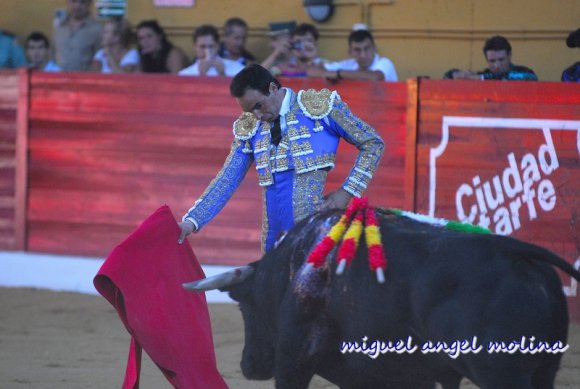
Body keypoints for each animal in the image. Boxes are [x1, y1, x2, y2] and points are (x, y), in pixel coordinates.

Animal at [185, 209, 580, 388]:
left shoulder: (294, 358)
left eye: (244, 306)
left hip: (500, 372)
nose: (249, 365)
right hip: (544, 370)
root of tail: (514, 253)